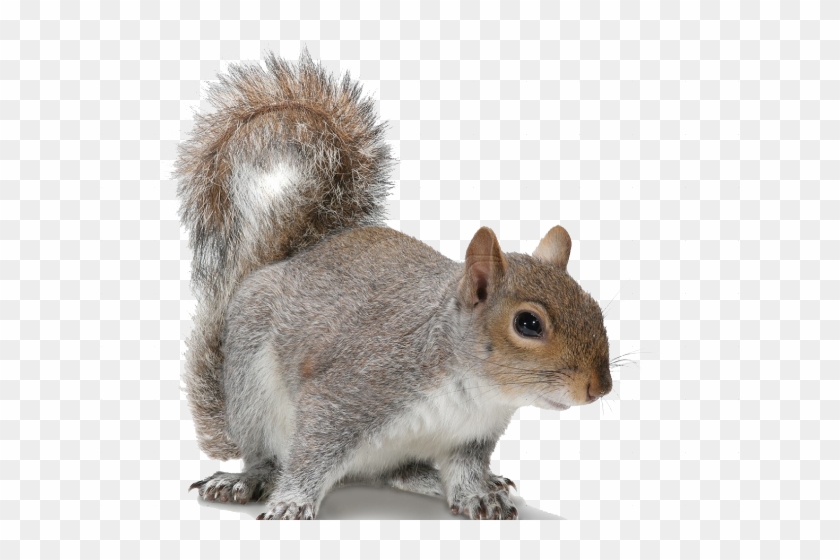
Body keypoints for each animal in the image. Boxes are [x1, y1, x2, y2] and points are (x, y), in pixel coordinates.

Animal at [176, 51, 612, 520]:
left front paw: (477, 495)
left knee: (396, 473)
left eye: (596, 308)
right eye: (528, 324)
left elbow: (465, 471)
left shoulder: (470, 438)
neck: (474, 392)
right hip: (251, 386)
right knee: (268, 456)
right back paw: (246, 479)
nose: (600, 387)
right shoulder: (350, 392)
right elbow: (310, 454)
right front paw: (291, 503)